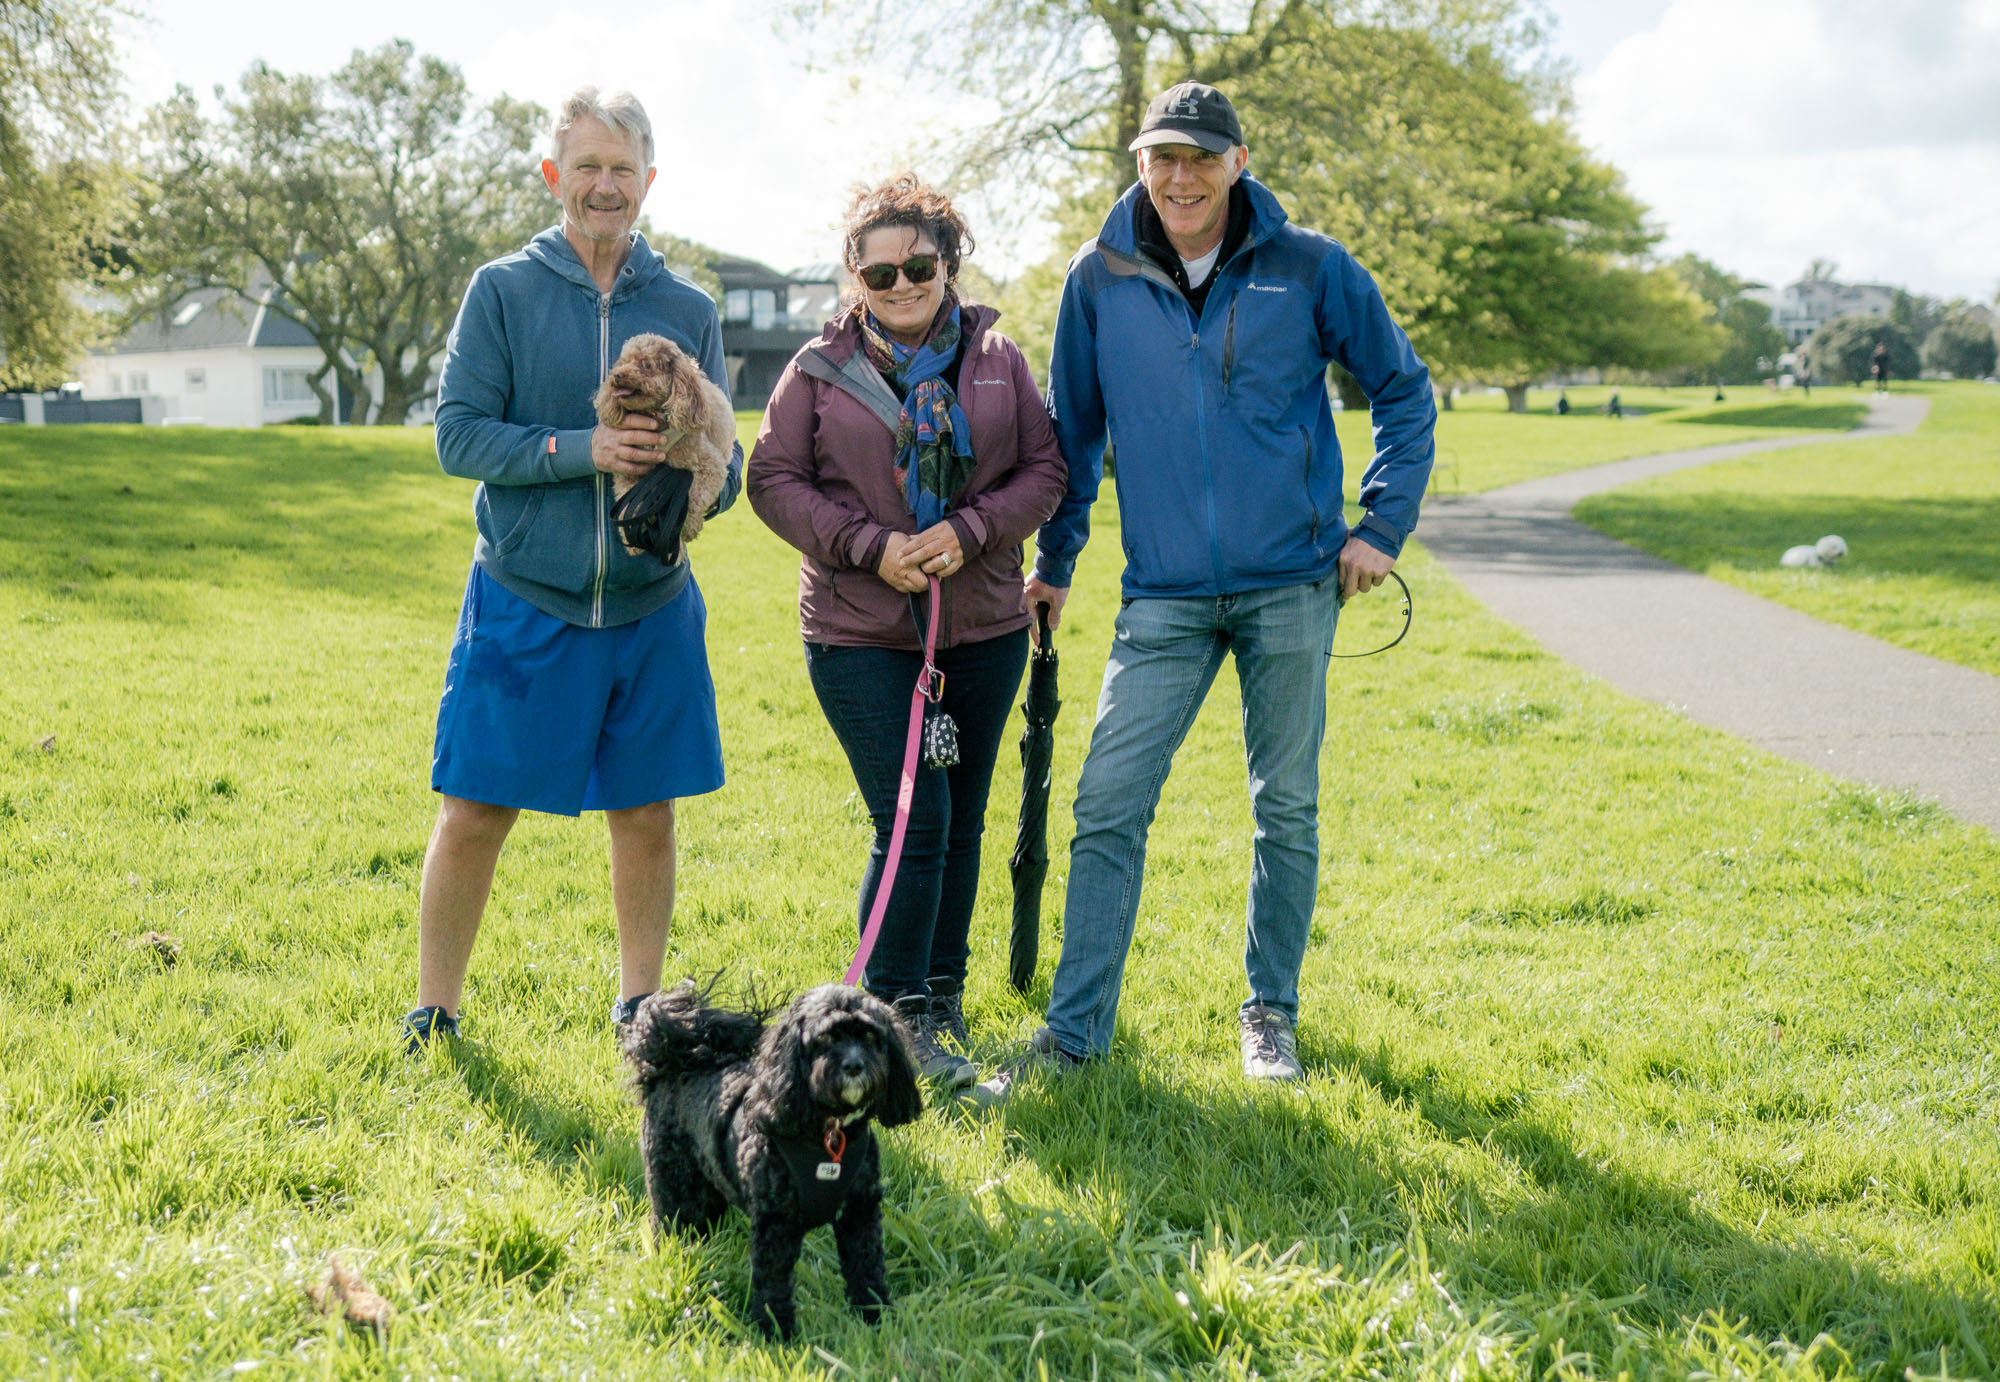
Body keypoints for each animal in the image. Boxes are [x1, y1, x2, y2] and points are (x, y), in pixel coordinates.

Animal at [593, 334, 734, 561]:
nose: (617, 375)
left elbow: (695, 498)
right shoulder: (628, 473)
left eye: (645, 365)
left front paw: (688, 528)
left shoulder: (711, 467)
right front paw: (633, 539)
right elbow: (626, 507)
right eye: (623, 362)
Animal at [623, 981, 923, 1339]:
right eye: (824, 1039)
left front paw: (875, 1317)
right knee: (670, 1225)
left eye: (869, 1036)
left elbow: (867, 1269)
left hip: (709, 1185)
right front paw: (775, 1332)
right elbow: (773, 1283)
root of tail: (675, 1061)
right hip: (672, 1184)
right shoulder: (776, 1223)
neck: (828, 1134)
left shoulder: (860, 1214)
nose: (853, 1066)